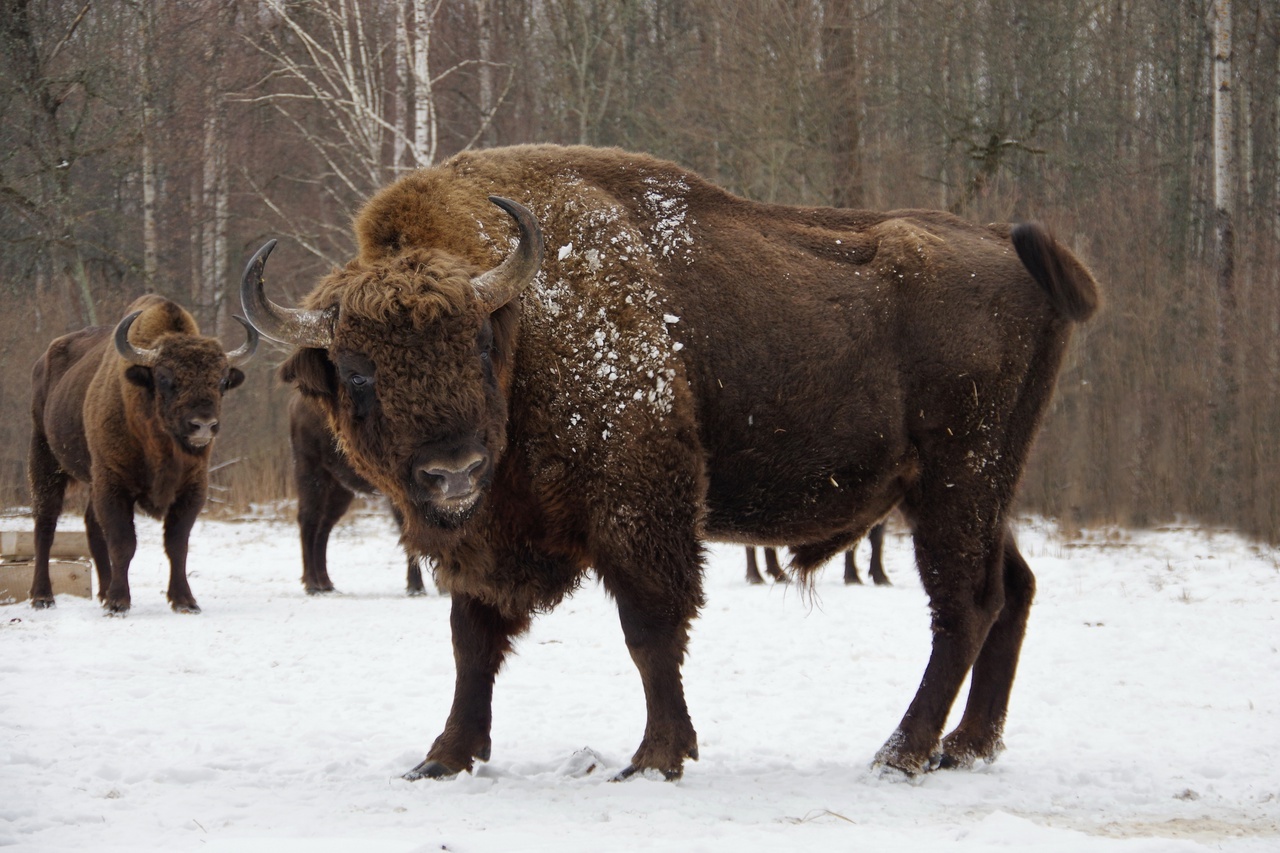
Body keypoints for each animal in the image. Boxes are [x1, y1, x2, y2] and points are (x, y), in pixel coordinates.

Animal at [28, 294, 257, 612]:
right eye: (164, 378)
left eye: (222, 381)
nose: (203, 425)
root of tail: (42, 362)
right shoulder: (114, 484)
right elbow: (124, 542)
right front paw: (118, 602)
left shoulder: (192, 488)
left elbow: (177, 544)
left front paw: (185, 601)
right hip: (45, 457)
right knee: (45, 524)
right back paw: (43, 596)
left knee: (91, 525)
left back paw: (102, 591)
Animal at [286, 389, 430, 594]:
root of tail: (295, 402)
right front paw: (416, 587)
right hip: (311, 471)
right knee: (308, 520)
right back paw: (312, 584)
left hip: (340, 488)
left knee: (324, 527)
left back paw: (326, 583)